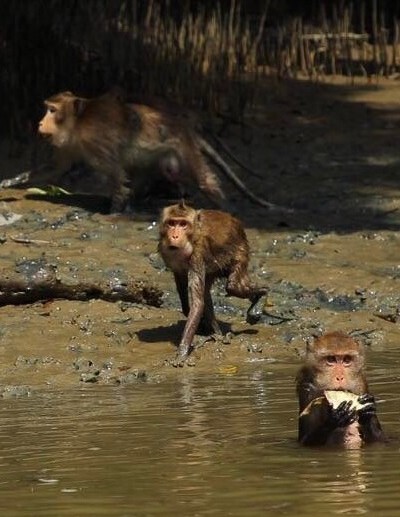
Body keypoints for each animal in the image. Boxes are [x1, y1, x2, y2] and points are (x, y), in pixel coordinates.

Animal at [158, 200, 268, 364]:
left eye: (183, 224)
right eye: (171, 223)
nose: (175, 235)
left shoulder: (197, 255)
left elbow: (198, 304)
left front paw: (182, 352)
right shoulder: (167, 254)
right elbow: (183, 286)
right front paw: (196, 322)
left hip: (240, 250)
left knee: (233, 287)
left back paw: (262, 293)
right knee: (207, 291)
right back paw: (217, 334)